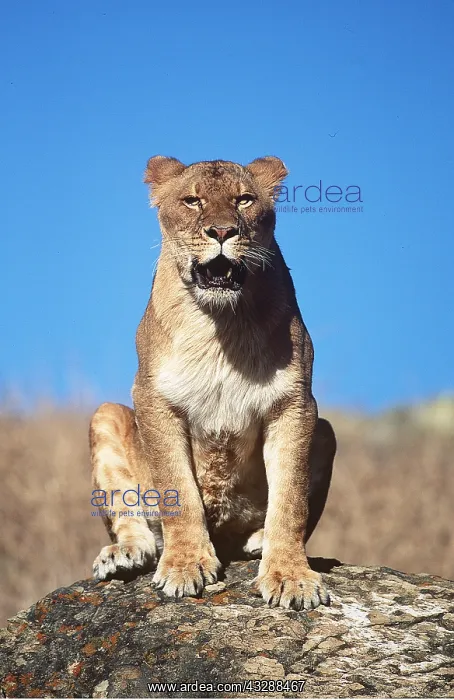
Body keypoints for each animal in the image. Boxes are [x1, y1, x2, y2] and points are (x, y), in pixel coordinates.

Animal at [89, 155, 336, 610]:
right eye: (192, 201)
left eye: (244, 199)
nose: (222, 231)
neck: (221, 324)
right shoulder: (152, 399)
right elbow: (178, 491)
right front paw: (185, 565)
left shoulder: (295, 405)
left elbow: (290, 500)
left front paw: (290, 576)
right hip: (107, 413)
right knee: (135, 522)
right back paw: (125, 554)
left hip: (325, 430)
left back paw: (257, 541)